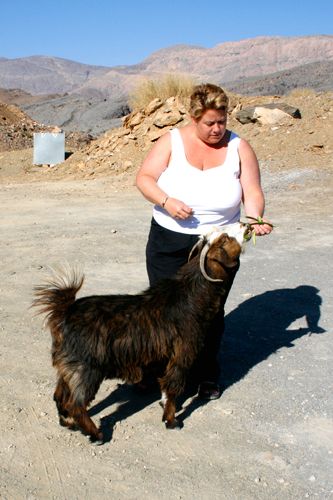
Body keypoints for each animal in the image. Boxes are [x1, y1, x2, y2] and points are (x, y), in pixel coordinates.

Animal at [33, 223, 249, 442]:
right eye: (225, 239)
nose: (244, 224)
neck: (192, 296)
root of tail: (65, 312)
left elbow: (165, 386)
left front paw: (164, 407)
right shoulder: (181, 355)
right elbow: (173, 386)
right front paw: (171, 421)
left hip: (68, 367)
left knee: (59, 395)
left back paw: (68, 423)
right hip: (86, 369)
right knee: (75, 404)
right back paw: (96, 434)